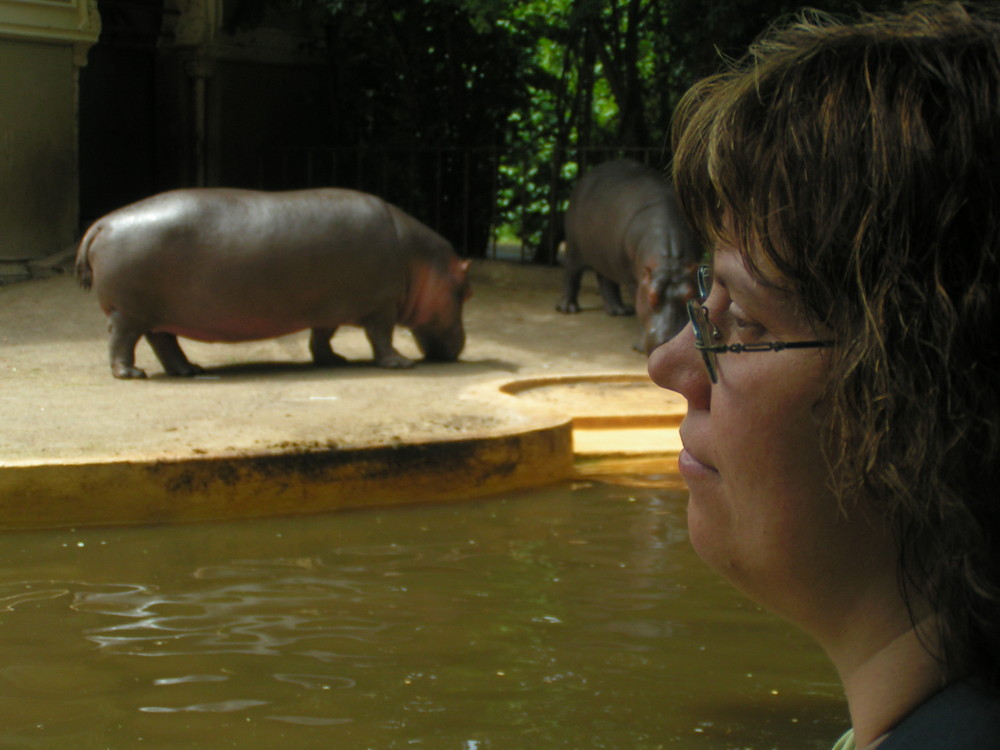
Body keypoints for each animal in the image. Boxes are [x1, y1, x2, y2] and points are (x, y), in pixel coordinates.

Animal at [74, 186, 472, 378]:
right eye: (466, 291)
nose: (459, 346)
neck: (420, 260)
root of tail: (103, 223)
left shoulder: (328, 306)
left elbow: (321, 337)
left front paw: (334, 359)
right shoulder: (381, 304)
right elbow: (382, 338)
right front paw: (402, 364)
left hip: (155, 315)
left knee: (164, 342)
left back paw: (190, 370)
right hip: (128, 313)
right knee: (122, 341)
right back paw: (131, 373)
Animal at [556, 158, 704, 356]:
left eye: (689, 294)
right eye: (651, 296)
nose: (669, 342)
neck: (669, 262)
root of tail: (588, 175)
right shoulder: (635, 281)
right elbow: (639, 309)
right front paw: (639, 346)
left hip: (605, 254)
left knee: (605, 280)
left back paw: (618, 311)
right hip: (574, 247)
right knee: (572, 273)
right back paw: (568, 308)